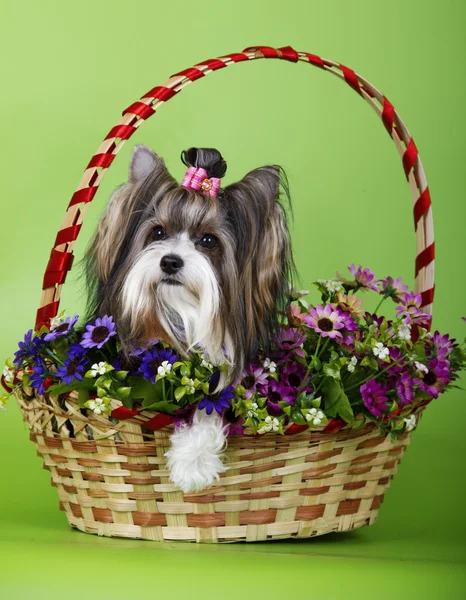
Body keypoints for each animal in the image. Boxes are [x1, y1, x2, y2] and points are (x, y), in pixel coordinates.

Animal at [85, 145, 294, 492]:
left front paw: (192, 463)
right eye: (158, 232)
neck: (182, 314)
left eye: (208, 241)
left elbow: (211, 407)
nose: (170, 261)